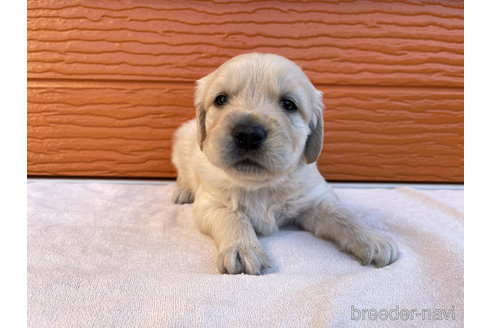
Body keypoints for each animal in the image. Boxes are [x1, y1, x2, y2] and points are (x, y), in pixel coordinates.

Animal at [171, 53, 398, 274]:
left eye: (288, 104)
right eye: (221, 99)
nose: (248, 134)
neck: (259, 184)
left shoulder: (315, 199)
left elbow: (343, 215)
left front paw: (372, 238)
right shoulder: (211, 204)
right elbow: (233, 217)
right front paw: (242, 249)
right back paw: (183, 192)